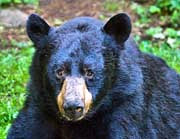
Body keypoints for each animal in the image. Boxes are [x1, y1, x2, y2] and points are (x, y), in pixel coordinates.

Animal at [7, 13, 180, 139]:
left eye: (90, 72)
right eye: (59, 71)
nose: (73, 107)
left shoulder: (126, 106)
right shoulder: (40, 104)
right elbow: (24, 130)